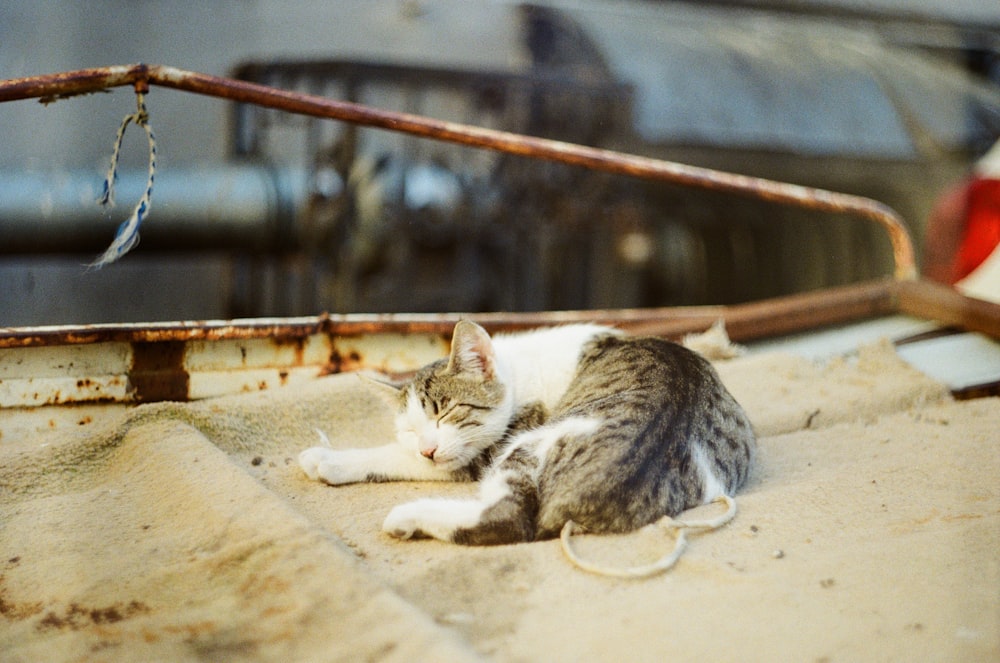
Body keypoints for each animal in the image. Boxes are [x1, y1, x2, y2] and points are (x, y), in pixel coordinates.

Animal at [300, 320, 752, 544]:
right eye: (411, 428)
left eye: (448, 412)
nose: (427, 448)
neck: (519, 366)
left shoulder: (489, 446)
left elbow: (403, 458)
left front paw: (328, 458)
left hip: (526, 447)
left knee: (510, 518)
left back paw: (408, 518)